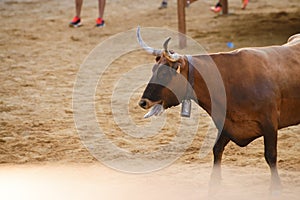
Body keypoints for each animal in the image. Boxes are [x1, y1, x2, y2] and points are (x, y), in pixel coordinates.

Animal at [138, 27, 300, 192]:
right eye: (154, 69)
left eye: (164, 73)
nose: (143, 102)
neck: (232, 81)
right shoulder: (227, 124)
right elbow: (217, 149)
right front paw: (214, 183)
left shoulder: (270, 125)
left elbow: (271, 155)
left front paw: (276, 187)